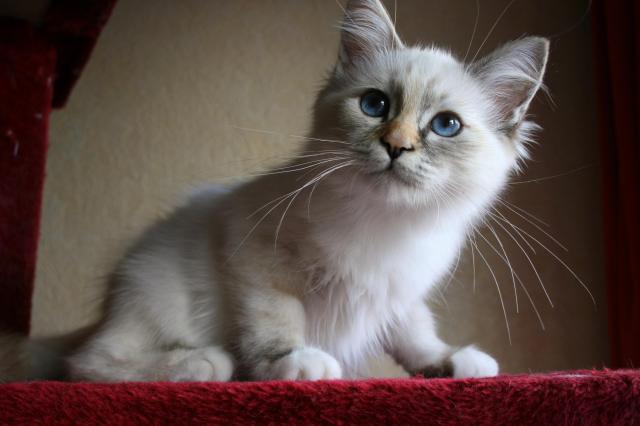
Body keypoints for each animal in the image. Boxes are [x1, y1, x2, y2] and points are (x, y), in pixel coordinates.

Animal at [62, 0, 548, 382]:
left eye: (446, 125)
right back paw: (206, 363)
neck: (386, 225)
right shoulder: (254, 256)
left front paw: (453, 360)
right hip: (157, 300)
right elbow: (276, 319)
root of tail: (109, 310)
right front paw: (295, 362)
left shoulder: (400, 294)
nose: (396, 145)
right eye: (375, 105)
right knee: (87, 364)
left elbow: (415, 334)